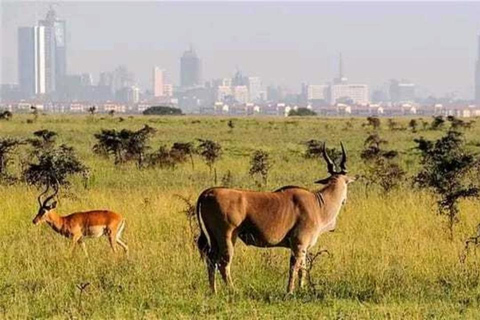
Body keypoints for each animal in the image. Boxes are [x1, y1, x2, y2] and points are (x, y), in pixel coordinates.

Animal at [196, 142, 356, 292]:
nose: (344, 200)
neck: (318, 203)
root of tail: (208, 193)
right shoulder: (299, 245)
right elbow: (294, 268)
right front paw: (290, 291)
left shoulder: (303, 249)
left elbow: (302, 271)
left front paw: (301, 289)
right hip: (227, 237)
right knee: (223, 263)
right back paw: (234, 291)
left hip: (215, 240)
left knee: (211, 261)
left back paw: (214, 291)